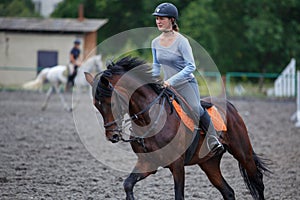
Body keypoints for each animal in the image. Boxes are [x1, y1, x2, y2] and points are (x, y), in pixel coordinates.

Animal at [84, 56, 270, 200]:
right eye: (96, 105)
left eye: (111, 103)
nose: (112, 136)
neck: (150, 120)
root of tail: (231, 107)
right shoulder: (148, 163)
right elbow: (127, 184)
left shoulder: (177, 165)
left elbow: (178, 195)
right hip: (209, 162)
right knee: (228, 192)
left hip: (242, 152)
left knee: (258, 180)